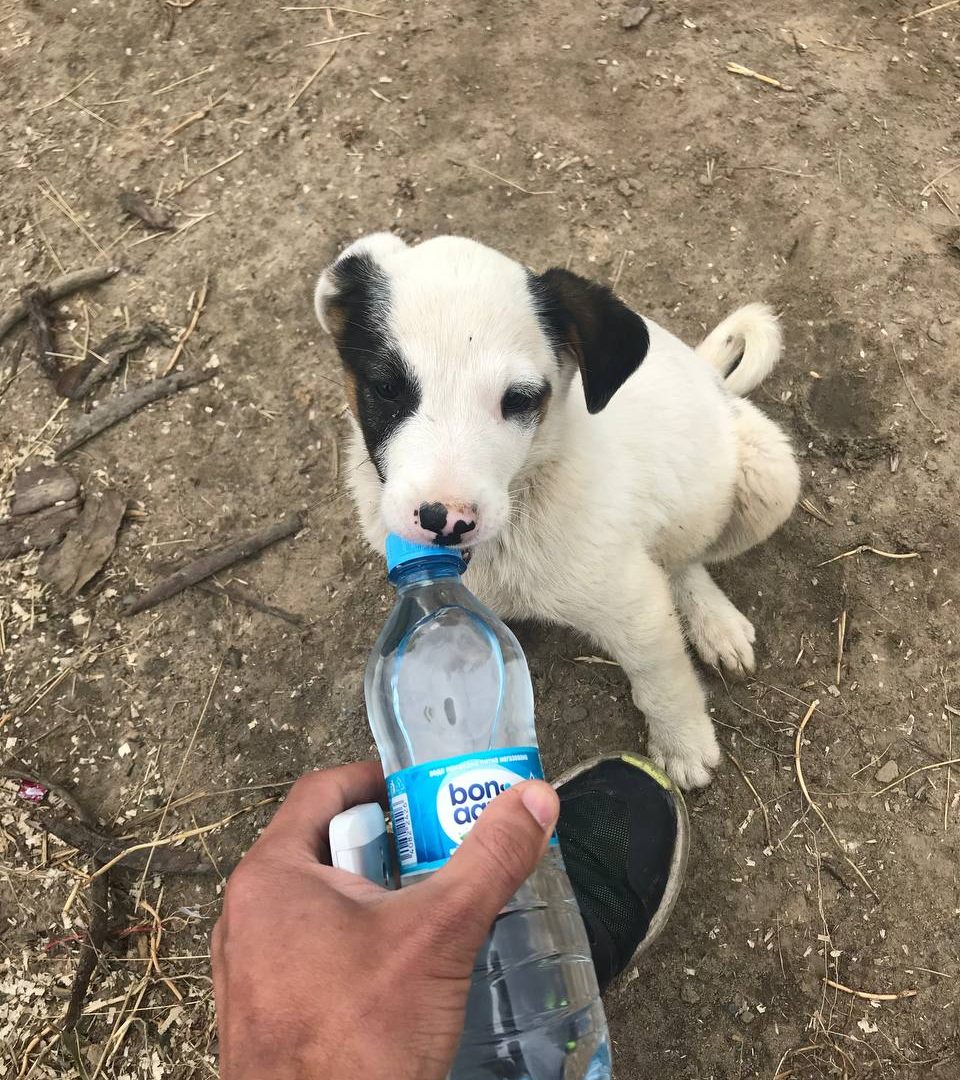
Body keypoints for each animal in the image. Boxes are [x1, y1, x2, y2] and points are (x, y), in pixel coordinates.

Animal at [313, 234, 794, 786]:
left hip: (771, 475)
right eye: (387, 388)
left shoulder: (635, 605)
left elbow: (662, 676)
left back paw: (713, 620)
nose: (445, 521)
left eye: (520, 400)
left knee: (685, 559)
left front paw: (684, 743)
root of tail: (707, 373)